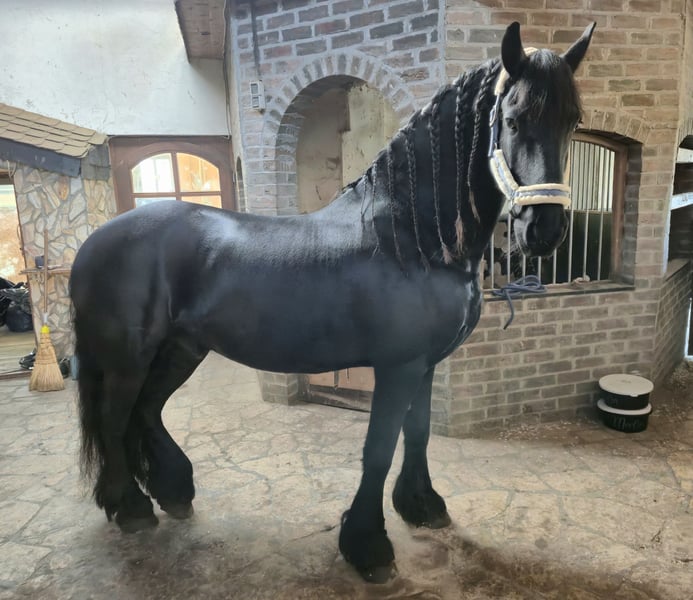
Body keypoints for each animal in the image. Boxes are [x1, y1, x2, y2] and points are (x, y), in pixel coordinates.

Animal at [70, 22, 595, 583]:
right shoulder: (398, 366)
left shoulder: (427, 364)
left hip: (179, 350)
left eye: (572, 121)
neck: (412, 239)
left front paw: (422, 506)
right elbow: (378, 449)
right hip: (127, 360)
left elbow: (419, 433)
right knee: (115, 421)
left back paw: (173, 492)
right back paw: (131, 508)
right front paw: (368, 546)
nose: (545, 230)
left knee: (146, 413)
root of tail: (92, 244)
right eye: (513, 120)